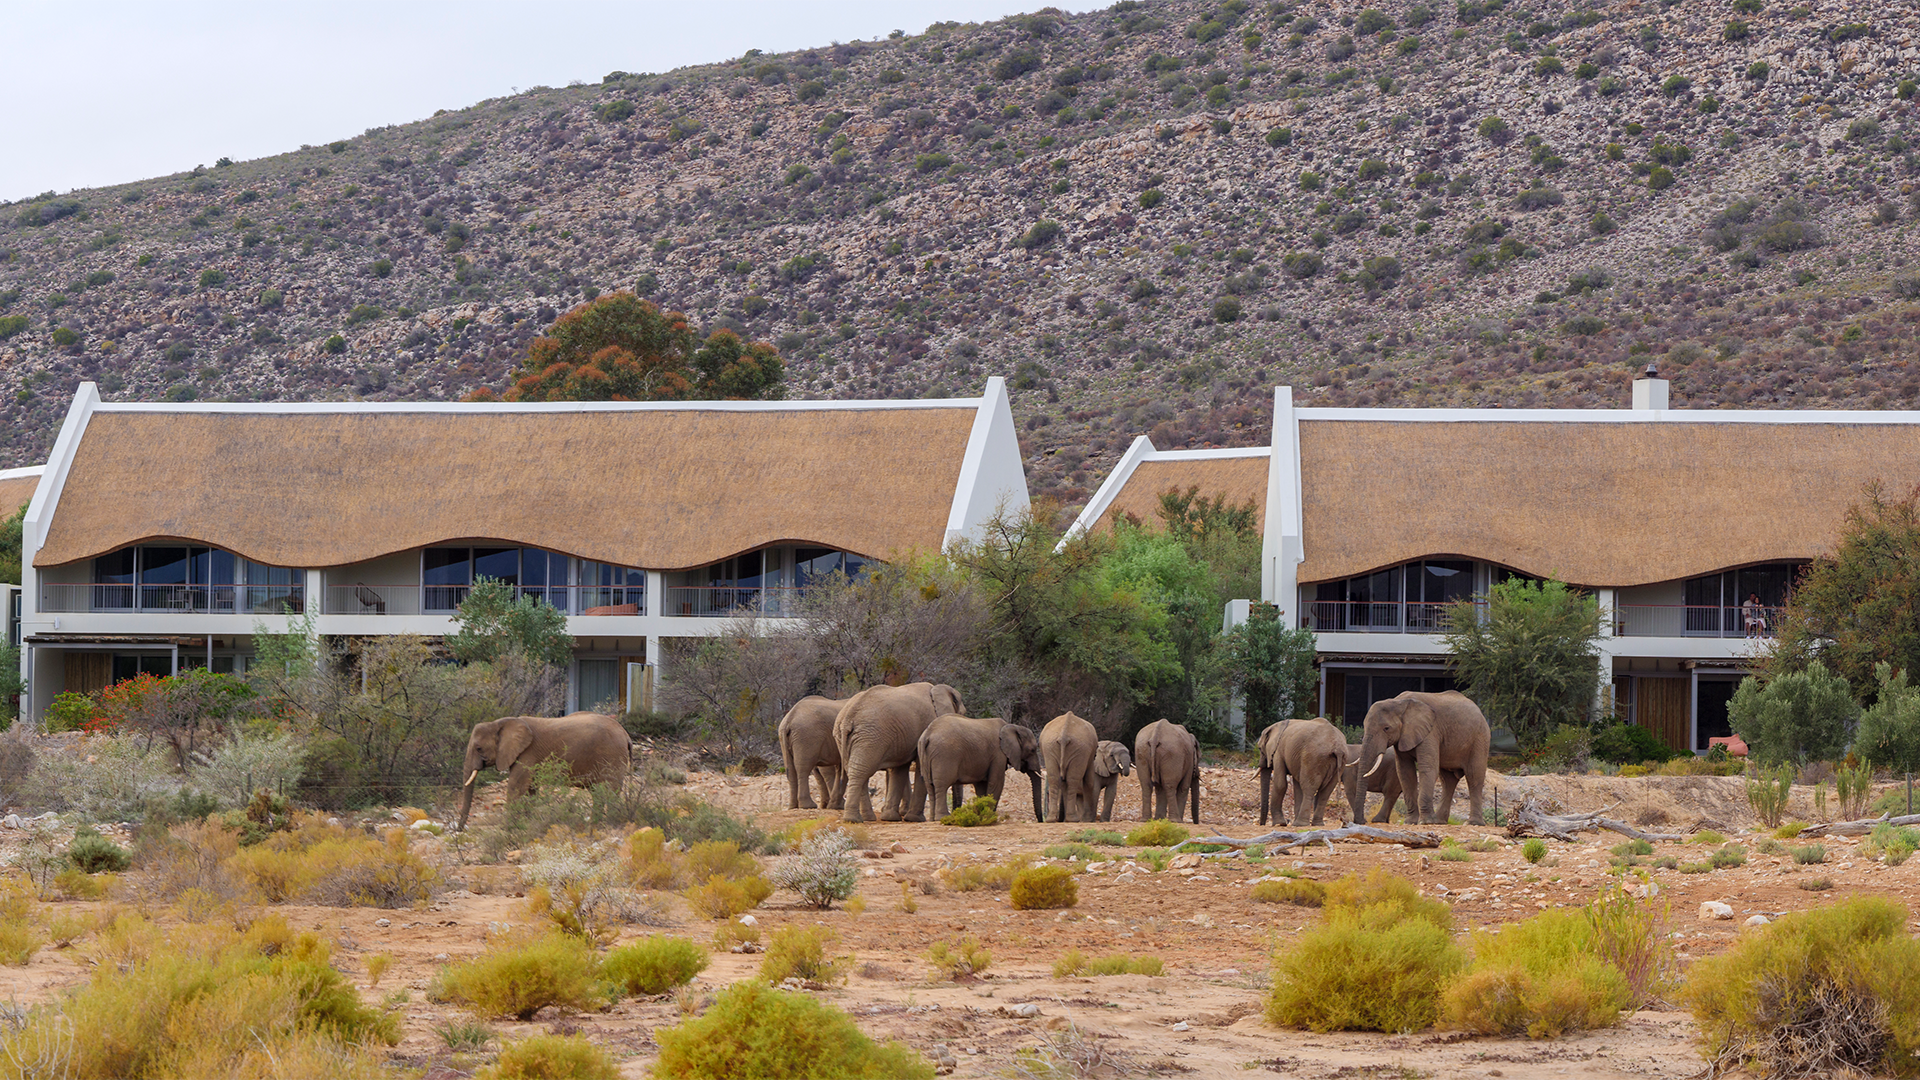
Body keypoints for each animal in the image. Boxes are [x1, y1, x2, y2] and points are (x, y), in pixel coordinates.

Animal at [455, 711, 629, 826]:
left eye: (479, 748)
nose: (459, 830)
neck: (500, 723)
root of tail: (625, 734)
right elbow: (530, 790)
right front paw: (528, 823)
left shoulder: (527, 754)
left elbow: (516, 787)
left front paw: (508, 828)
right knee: (598, 793)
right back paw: (595, 825)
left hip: (612, 755)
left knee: (610, 791)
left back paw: (610, 823)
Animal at [837, 676, 967, 818]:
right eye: (963, 713)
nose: (954, 813)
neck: (937, 689)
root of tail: (848, 717)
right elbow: (919, 769)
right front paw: (914, 819)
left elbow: (899, 770)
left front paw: (890, 818)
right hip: (870, 737)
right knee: (861, 772)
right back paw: (855, 819)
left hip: (849, 737)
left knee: (856, 770)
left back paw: (866, 818)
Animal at [1359, 687, 1489, 822]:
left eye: (1386, 728)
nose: (1364, 821)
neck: (1398, 702)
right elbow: (1405, 772)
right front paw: (1411, 822)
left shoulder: (1431, 731)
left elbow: (1427, 768)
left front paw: (1426, 822)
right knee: (1448, 780)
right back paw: (1439, 821)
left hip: (1480, 738)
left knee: (1474, 776)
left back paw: (1473, 823)